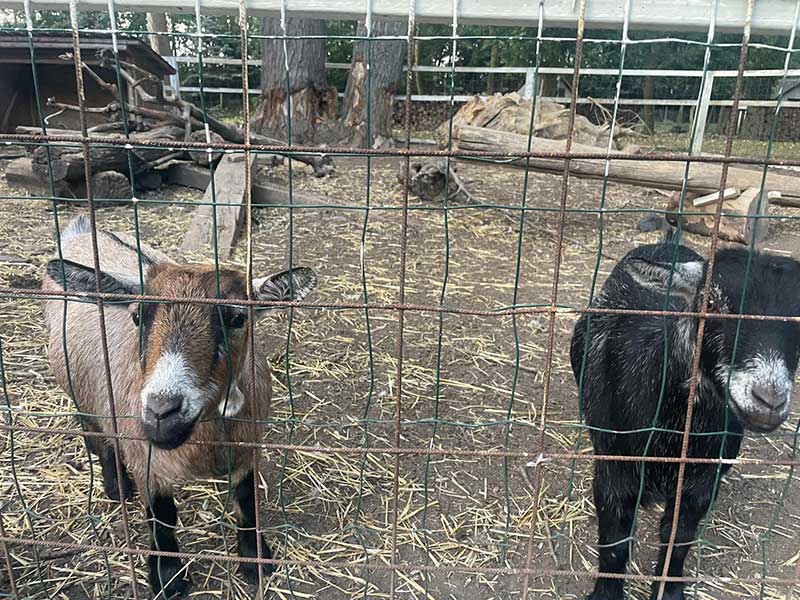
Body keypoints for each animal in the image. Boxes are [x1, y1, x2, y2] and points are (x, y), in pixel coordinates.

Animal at [42, 215, 317, 598]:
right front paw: (168, 576)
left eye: (238, 319)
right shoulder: (146, 457)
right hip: (79, 388)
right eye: (138, 317)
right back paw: (117, 487)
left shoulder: (249, 446)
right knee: (96, 436)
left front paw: (255, 559)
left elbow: (247, 501)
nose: (162, 413)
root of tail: (83, 230)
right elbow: (162, 517)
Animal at [570, 241, 800, 600]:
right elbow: (614, 544)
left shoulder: (700, 484)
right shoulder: (613, 471)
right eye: (711, 304)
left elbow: (678, 539)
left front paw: (668, 591)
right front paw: (605, 594)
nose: (769, 399)